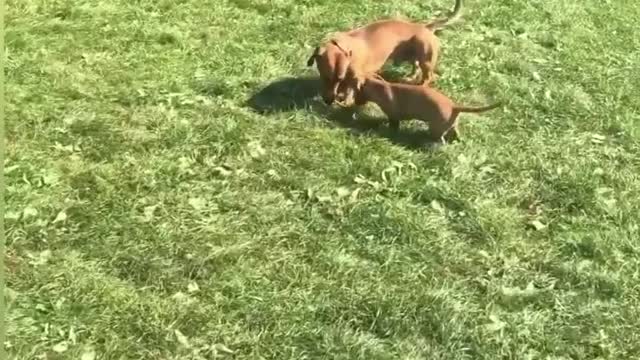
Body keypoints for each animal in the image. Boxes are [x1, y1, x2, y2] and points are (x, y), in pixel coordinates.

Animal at [304, 0, 460, 105]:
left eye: (338, 78)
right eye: (324, 77)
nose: (328, 101)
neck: (343, 46)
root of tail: (425, 27)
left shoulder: (356, 77)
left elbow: (350, 89)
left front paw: (346, 100)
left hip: (426, 58)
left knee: (428, 77)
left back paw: (420, 86)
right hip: (415, 55)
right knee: (415, 66)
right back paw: (410, 77)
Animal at [350, 75, 500, 143]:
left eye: (358, 93)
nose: (355, 103)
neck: (381, 87)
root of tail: (454, 107)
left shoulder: (394, 116)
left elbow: (393, 125)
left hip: (436, 128)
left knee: (440, 139)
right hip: (452, 126)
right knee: (455, 135)